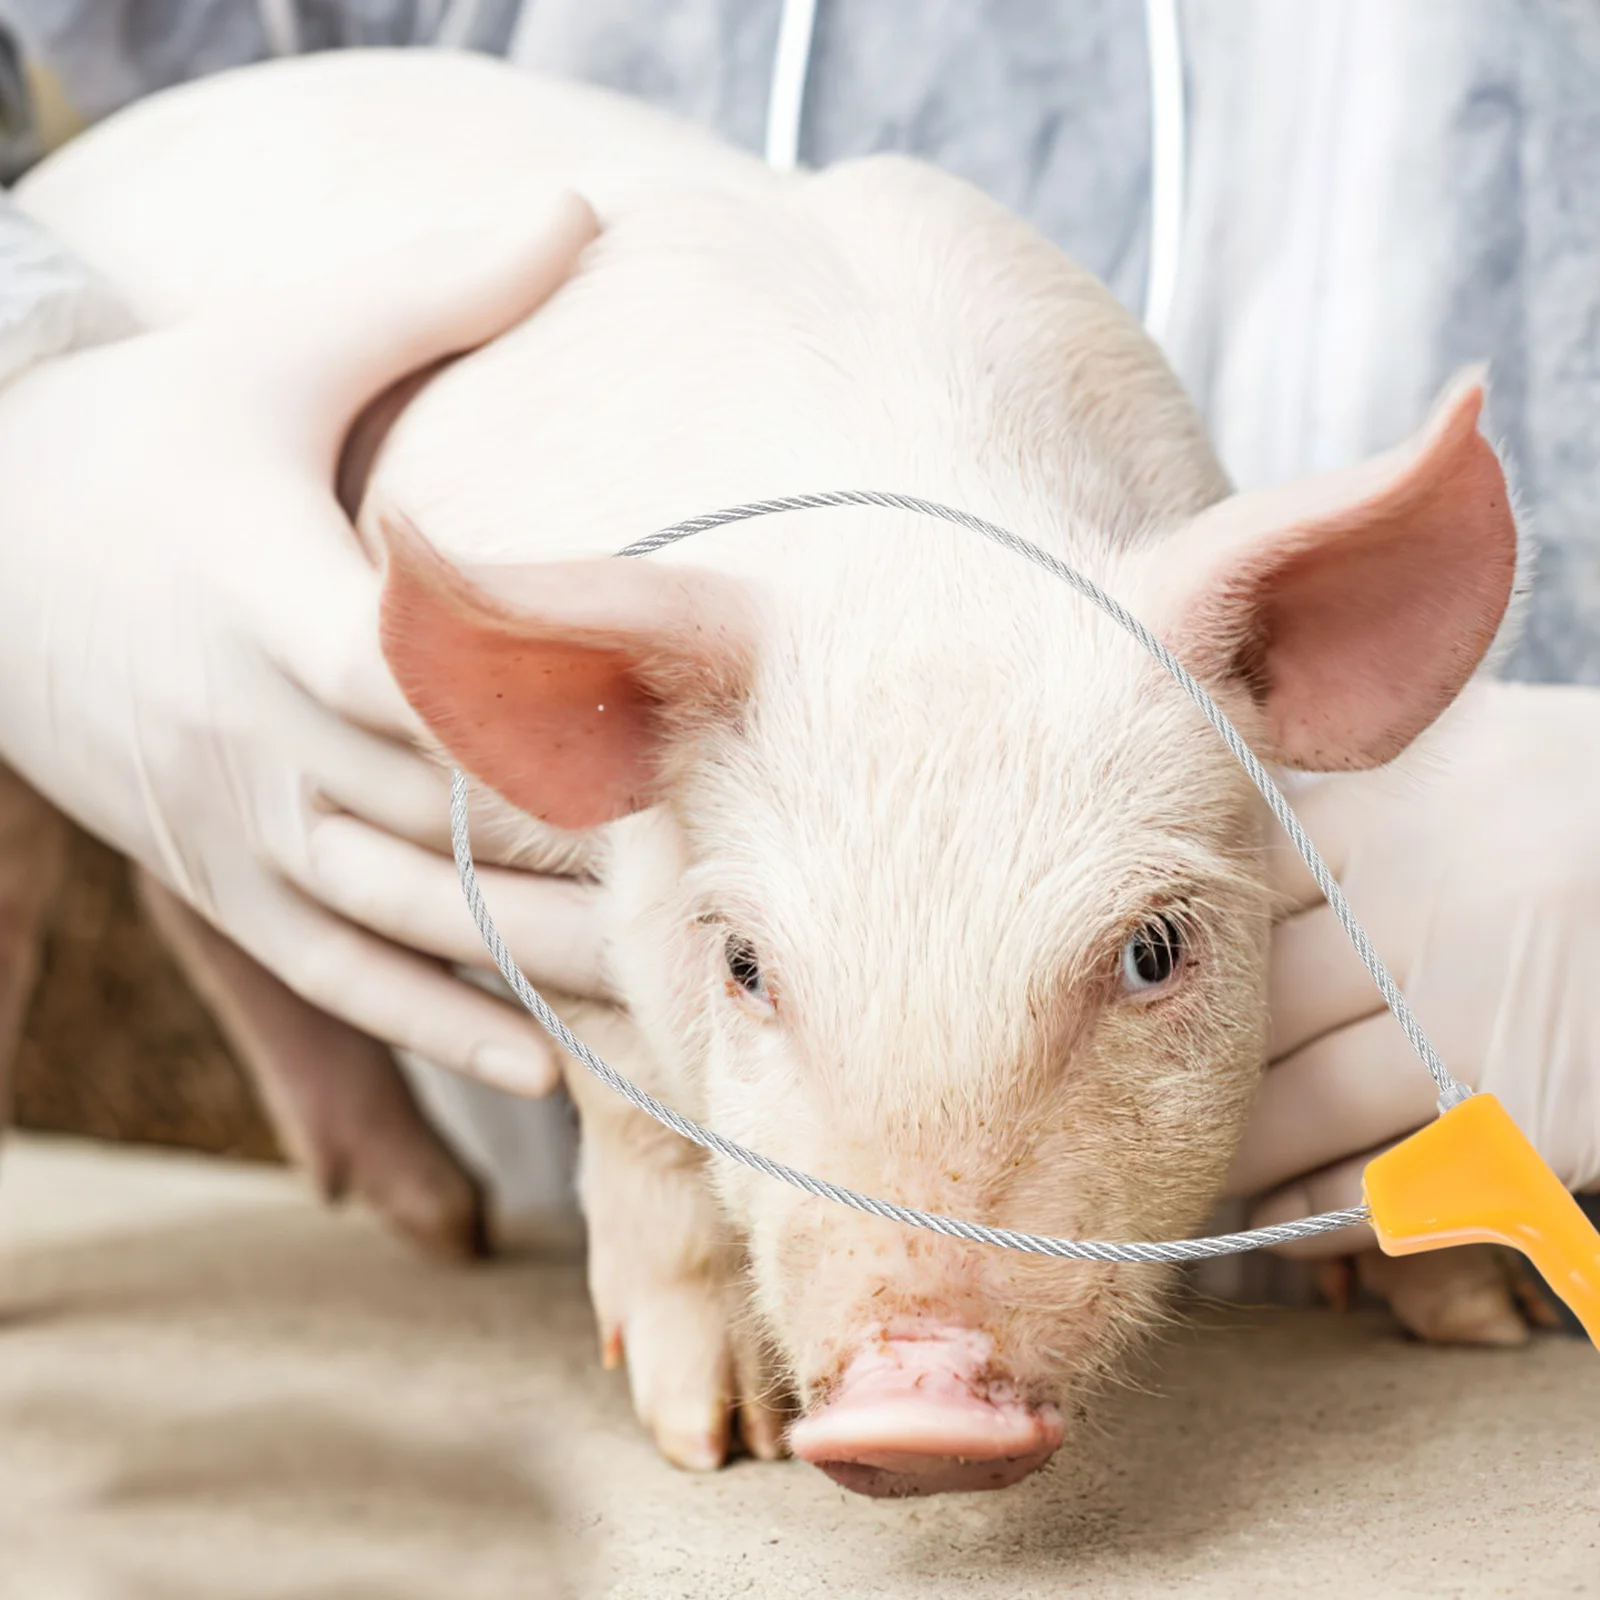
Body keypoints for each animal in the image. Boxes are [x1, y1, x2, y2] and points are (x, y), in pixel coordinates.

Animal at [10, 49, 1528, 1494]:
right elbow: (640, 1124)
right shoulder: (532, 869)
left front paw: (1478, 1323)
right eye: (744, 963)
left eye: (1154, 951)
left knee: (197, 907)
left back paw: (434, 1227)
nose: (918, 1408)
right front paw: (704, 1443)